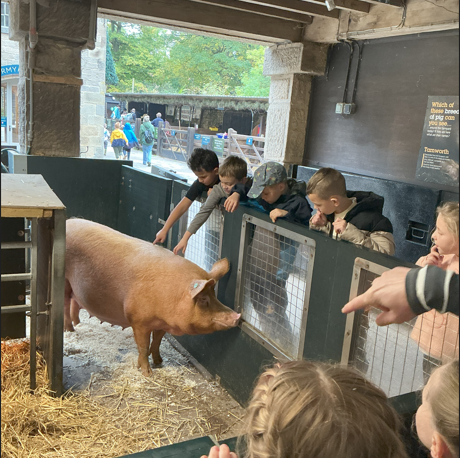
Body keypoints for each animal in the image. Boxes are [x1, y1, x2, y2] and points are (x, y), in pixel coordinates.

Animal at [64, 218, 240, 376]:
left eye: (214, 295)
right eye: (203, 299)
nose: (237, 316)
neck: (172, 295)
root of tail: (67, 222)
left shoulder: (162, 323)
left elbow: (157, 342)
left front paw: (159, 362)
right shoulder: (138, 320)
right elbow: (143, 346)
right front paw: (148, 373)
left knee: (74, 304)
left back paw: (77, 325)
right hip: (65, 283)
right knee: (66, 306)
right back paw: (70, 330)